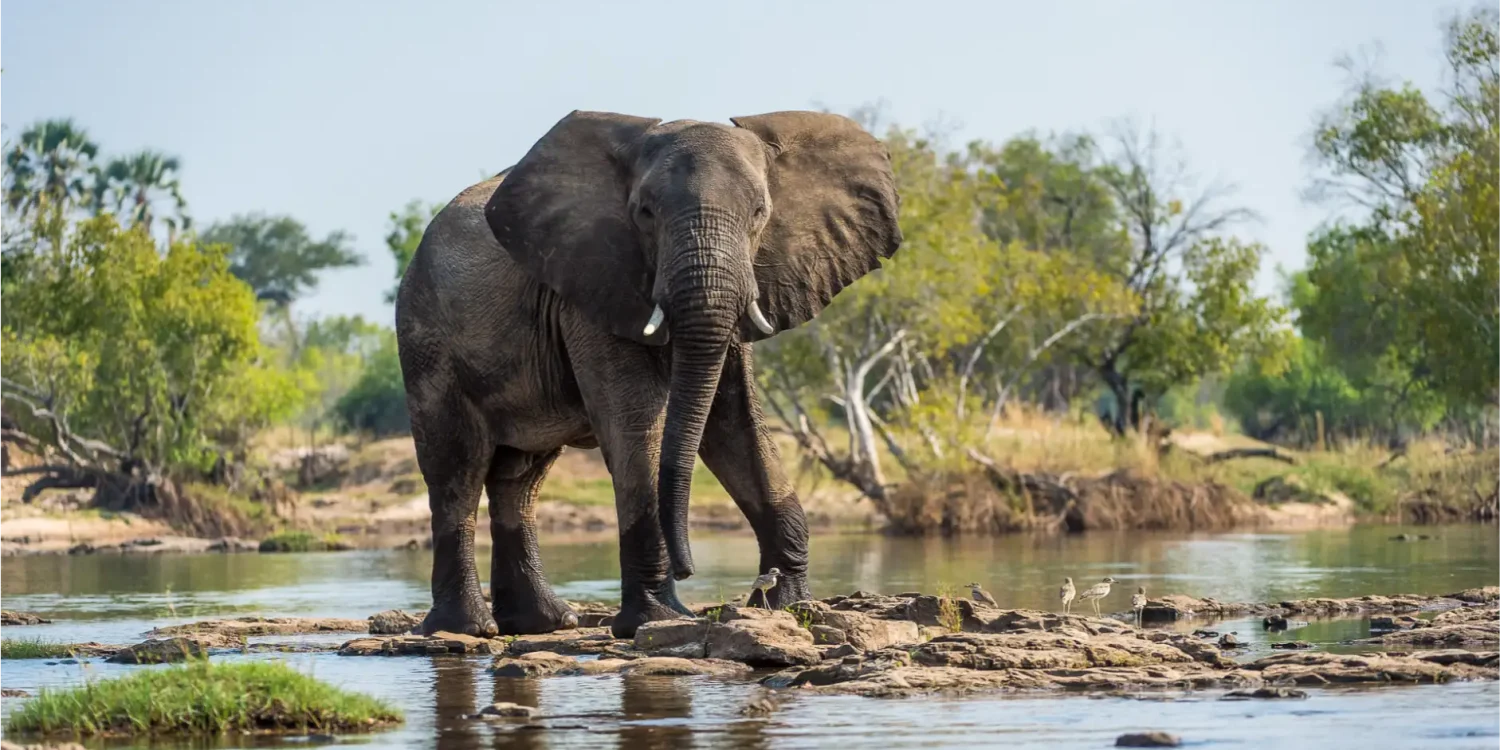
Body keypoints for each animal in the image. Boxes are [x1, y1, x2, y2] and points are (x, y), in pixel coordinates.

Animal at [394, 109, 902, 639]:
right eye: (644, 213)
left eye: (760, 213)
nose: (690, 570)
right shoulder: (593, 287)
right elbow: (636, 424)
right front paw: (661, 619)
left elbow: (735, 423)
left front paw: (790, 606)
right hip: (427, 341)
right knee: (458, 470)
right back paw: (469, 629)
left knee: (520, 478)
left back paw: (546, 623)